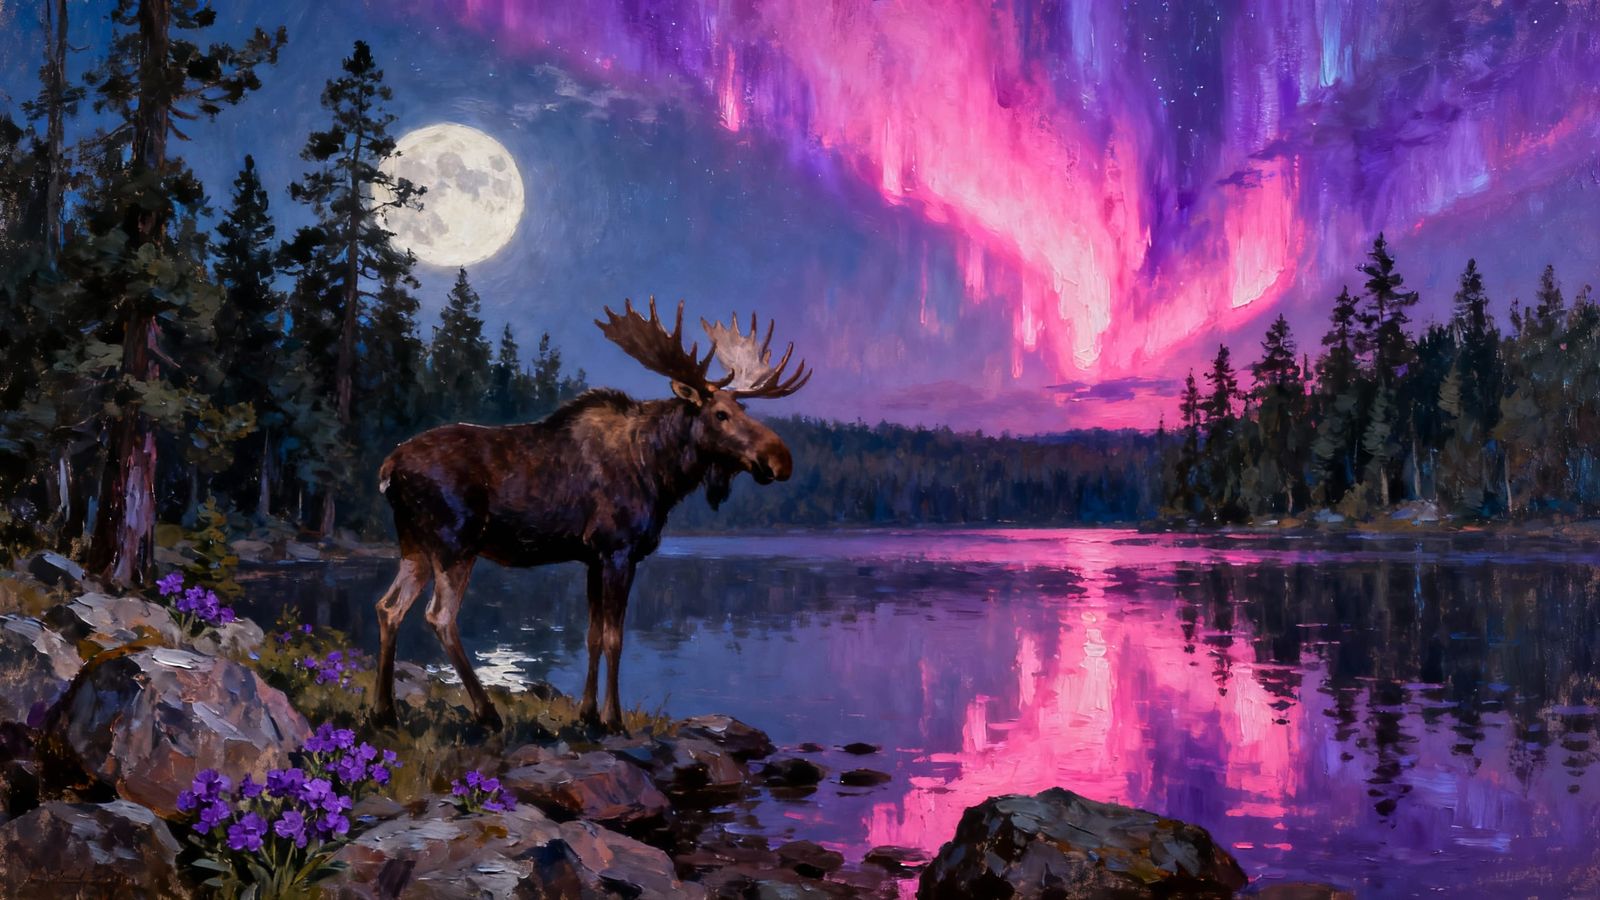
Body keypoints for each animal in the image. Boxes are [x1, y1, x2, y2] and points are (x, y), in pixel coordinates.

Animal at [369, 298, 810, 733]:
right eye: (720, 414)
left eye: (743, 407)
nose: (781, 459)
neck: (659, 473)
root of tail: (388, 468)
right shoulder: (618, 550)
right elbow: (615, 637)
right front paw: (614, 719)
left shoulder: (592, 557)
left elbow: (592, 636)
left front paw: (587, 713)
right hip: (455, 544)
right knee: (440, 616)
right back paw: (485, 711)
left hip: (414, 545)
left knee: (389, 607)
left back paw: (384, 710)